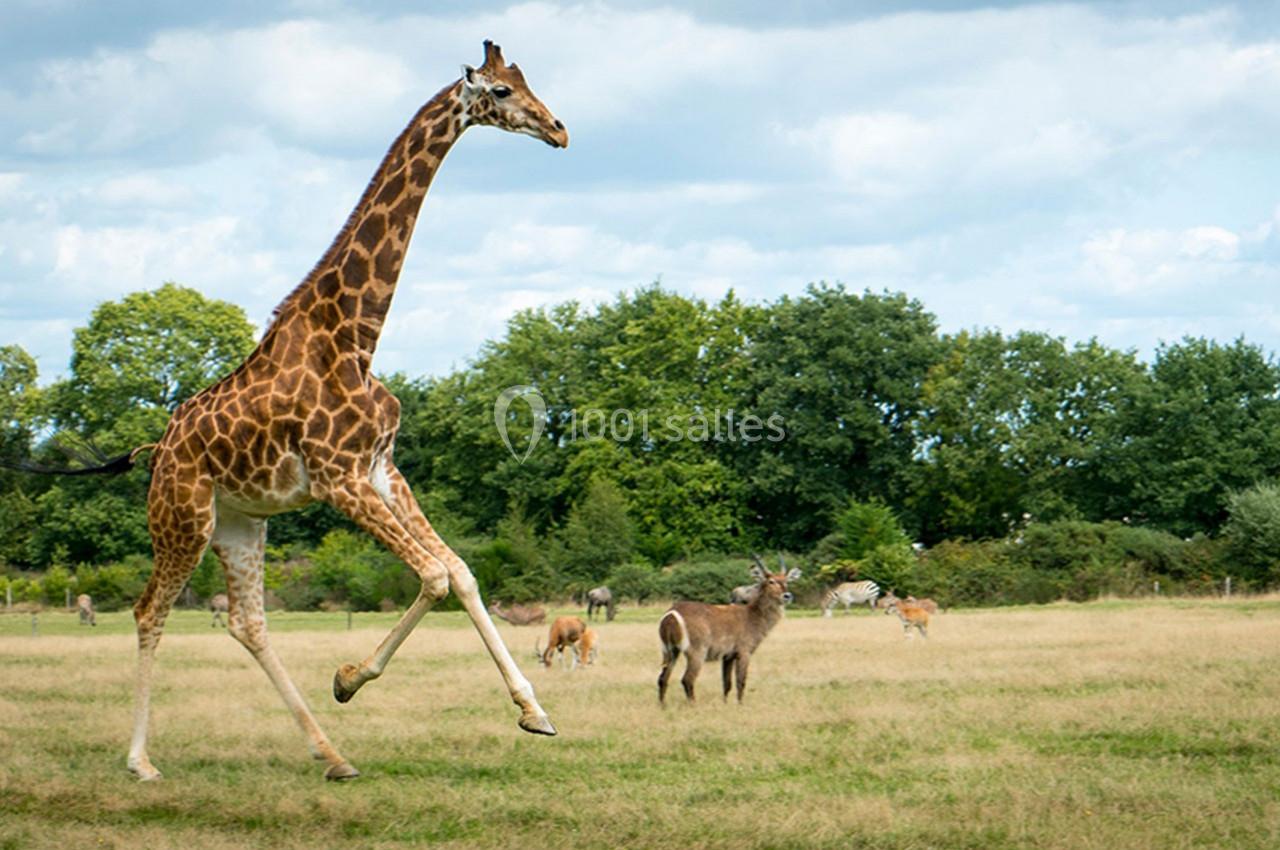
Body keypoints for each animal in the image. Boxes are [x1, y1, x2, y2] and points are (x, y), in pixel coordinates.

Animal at [122, 40, 568, 782]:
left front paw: (534, 711)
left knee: (248, 623)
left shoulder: (382, 469)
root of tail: (157, 452)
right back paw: (140, 761)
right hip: (184, 518)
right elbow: (435, 575)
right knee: (148, 610)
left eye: (527, 79)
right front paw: (350, 678)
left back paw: (330, 754)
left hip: (240, 523)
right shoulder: (339, 479)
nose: (559, 129)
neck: (355, 334)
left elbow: (461, 573)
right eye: (502, 91)